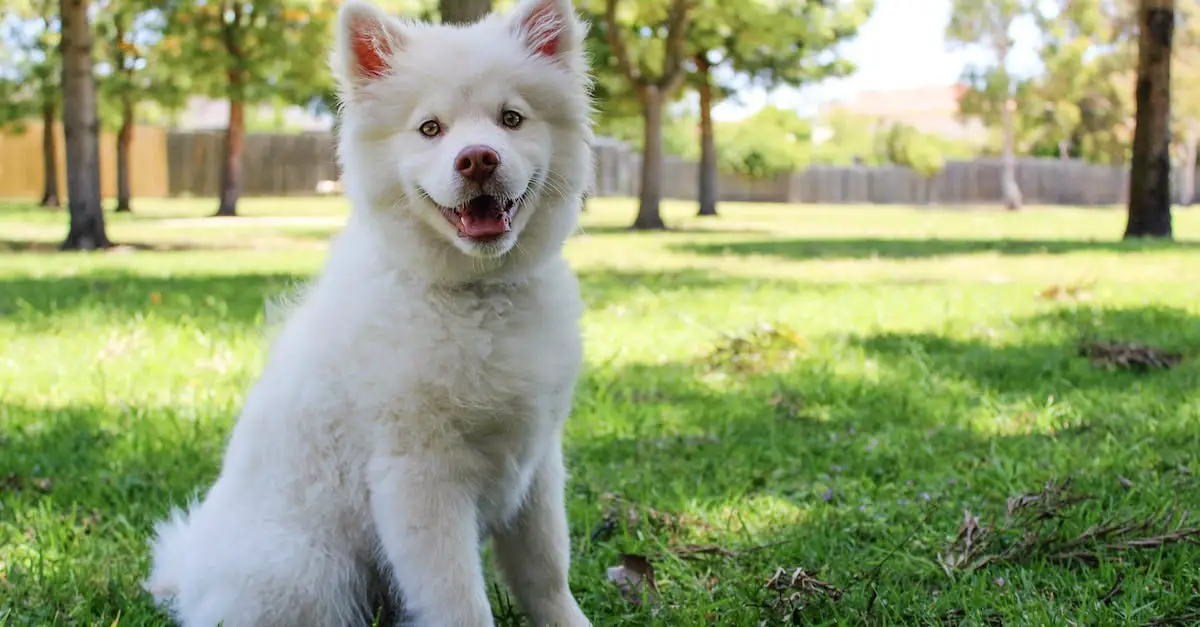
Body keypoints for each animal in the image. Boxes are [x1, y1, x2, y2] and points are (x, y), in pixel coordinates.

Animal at [144, 0, 595, 619]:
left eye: (511, 119)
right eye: (430, 129)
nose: (477, 159)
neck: (476, 295)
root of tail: (188, 575)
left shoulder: (537, 463)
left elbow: (548, 572)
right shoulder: (419, 476)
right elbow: (460, 601)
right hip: (307, 573)